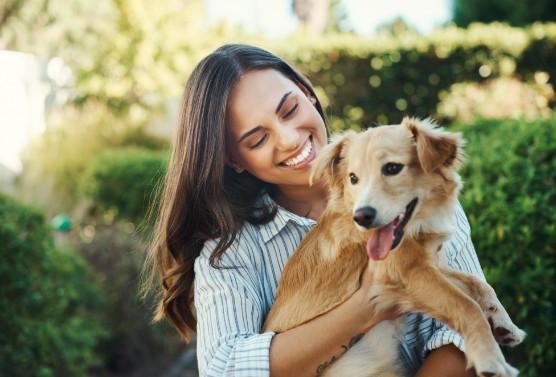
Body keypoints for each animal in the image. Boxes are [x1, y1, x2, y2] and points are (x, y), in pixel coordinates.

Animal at [264, 118, 524, 376]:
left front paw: (503, 323)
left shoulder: (428, 263)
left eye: (392, 168)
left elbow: (477, 283)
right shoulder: (405, 273)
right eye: (353, 178)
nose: (362, 216)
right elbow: (466, 305)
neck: (416, 226)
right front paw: (490, 359)